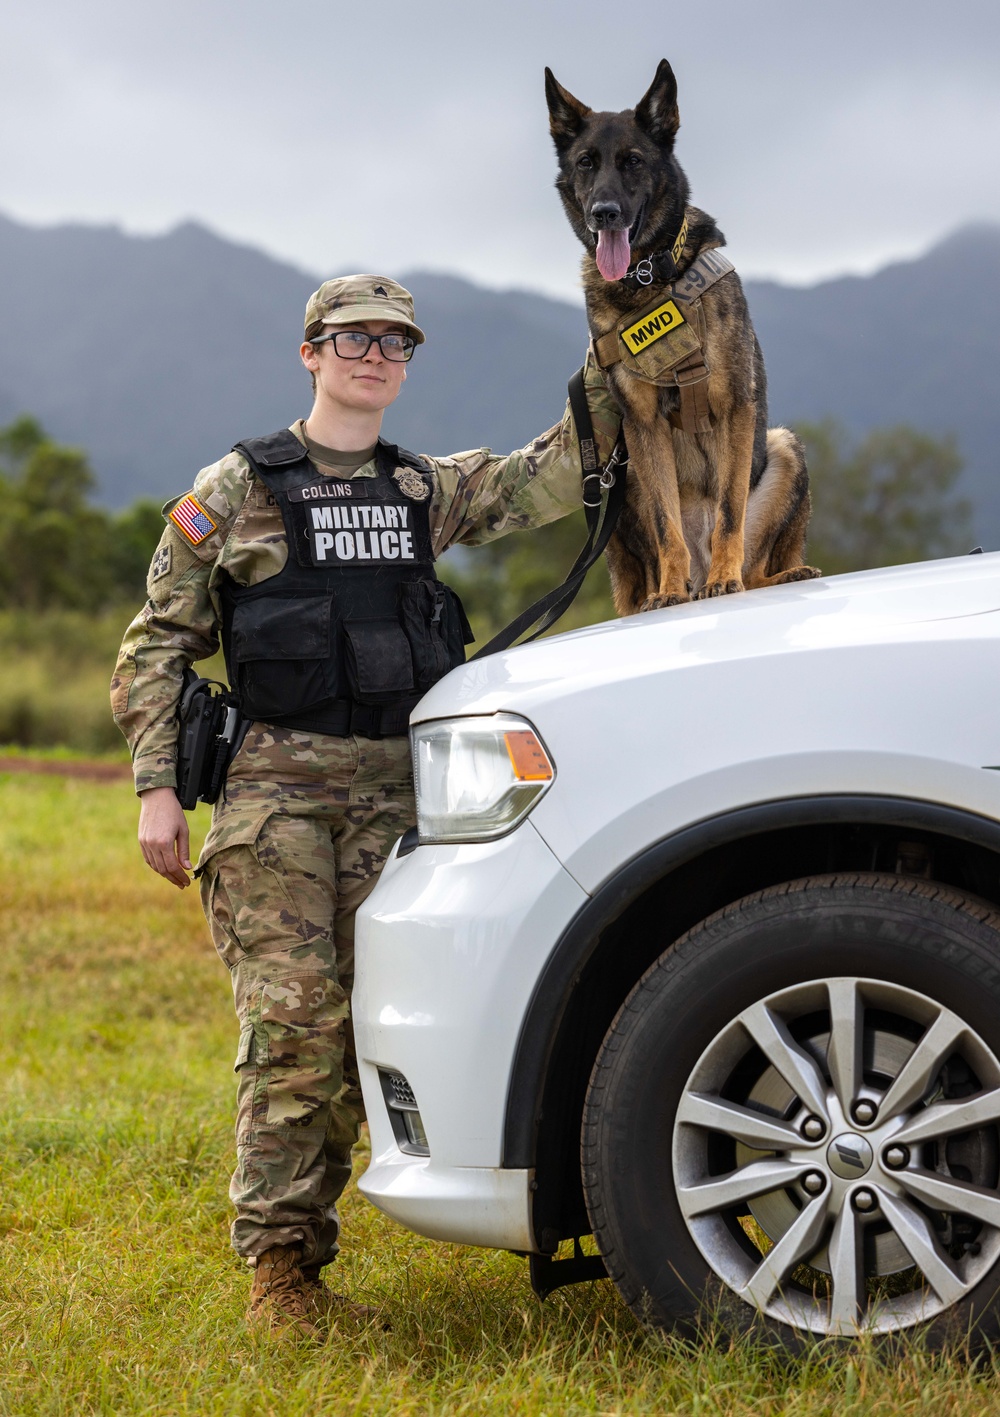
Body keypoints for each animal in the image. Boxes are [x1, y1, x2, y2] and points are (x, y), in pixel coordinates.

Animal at [543, 60, 815, 609]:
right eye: (585, 163)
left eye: (632, 161)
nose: (604, 212)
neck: (647, 277)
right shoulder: (642, 424)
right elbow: (667, 525)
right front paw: (668, 590)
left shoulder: (735, 407)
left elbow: (730, 511)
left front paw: (725, 579)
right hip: (625, 481)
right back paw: (674, 589)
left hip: (782, 447)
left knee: (755, 568)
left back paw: (766, 575)